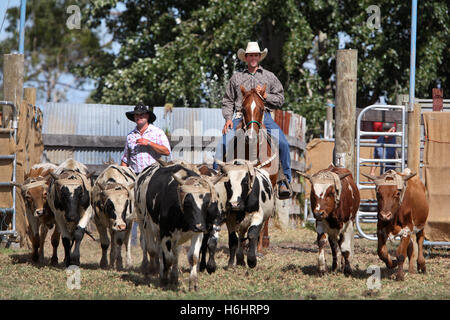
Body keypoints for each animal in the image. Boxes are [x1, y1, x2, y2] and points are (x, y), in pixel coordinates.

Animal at [134, 164, 221, 292]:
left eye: (207, 202)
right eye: (188, 202)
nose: (200, 226)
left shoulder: (197, 233)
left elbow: (193, 257)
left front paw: (193, 284)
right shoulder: (165, 234)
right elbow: (168, 258)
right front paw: (164, 279)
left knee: (173, 253)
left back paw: (174, 276)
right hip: (144, 223)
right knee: (152, 249)